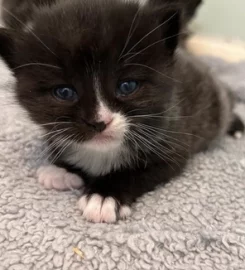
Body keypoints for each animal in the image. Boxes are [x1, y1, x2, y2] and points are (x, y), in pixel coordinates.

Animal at [0, 0, 242, 224]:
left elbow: (138, 172)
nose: (99, 122)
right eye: (64, 92)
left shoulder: (174, 140)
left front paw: (104, 196)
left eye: (127, 86)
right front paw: (62, 169)